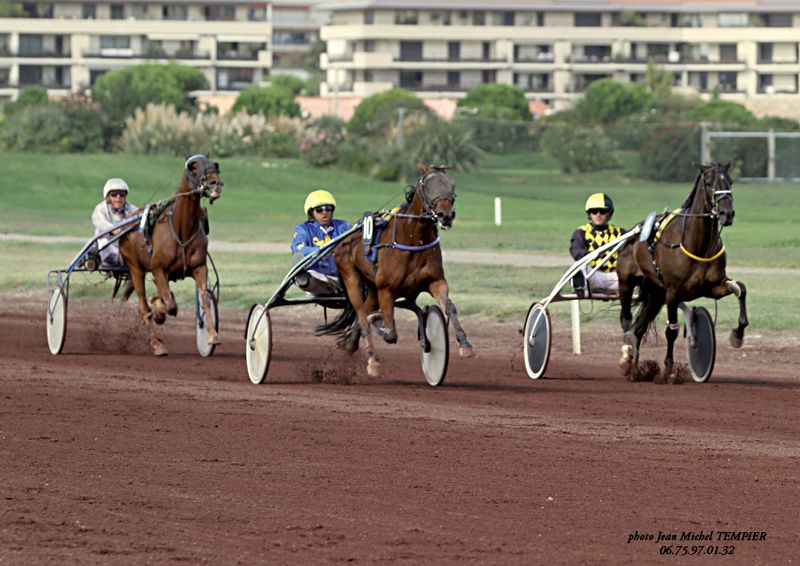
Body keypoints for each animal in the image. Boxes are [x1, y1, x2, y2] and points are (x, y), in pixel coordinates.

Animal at [117, 155, 222, 358]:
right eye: (194, 168)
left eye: (215, 165)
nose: (216, 183)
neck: (182, 230)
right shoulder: (159, 270)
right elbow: (169, 305)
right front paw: (158, 310)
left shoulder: (199, 268)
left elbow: (204, 300)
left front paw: (212, 335)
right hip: (135, 268)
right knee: (143, 307)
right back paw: (157, 344)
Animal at [316, 164, 476, 378]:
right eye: (426, 185)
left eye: (452, 184)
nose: (446, 215)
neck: (413, 240)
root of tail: (344, 239)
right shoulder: (387, 290)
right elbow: (391, 334)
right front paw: (379, 324)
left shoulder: (436, 281)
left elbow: (449, 306)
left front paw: (465, 344)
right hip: (352, 279)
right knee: (361, 315)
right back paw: (372, 358)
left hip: (373, 289)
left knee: (364, 312)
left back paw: (351, 344)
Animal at [616, 162, 748, 384]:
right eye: (709, 182)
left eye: (730, 182)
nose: (726, 213)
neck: (698, 245)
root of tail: (634, 233)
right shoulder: (673, 292)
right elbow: (672, 331)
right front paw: (669, 371)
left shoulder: (714, 286)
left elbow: (741, 289)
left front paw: (737, 335)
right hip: (627, 283)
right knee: (626, 320)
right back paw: (627, 355)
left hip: (655, 294)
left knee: (639, 329)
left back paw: (635, 369)